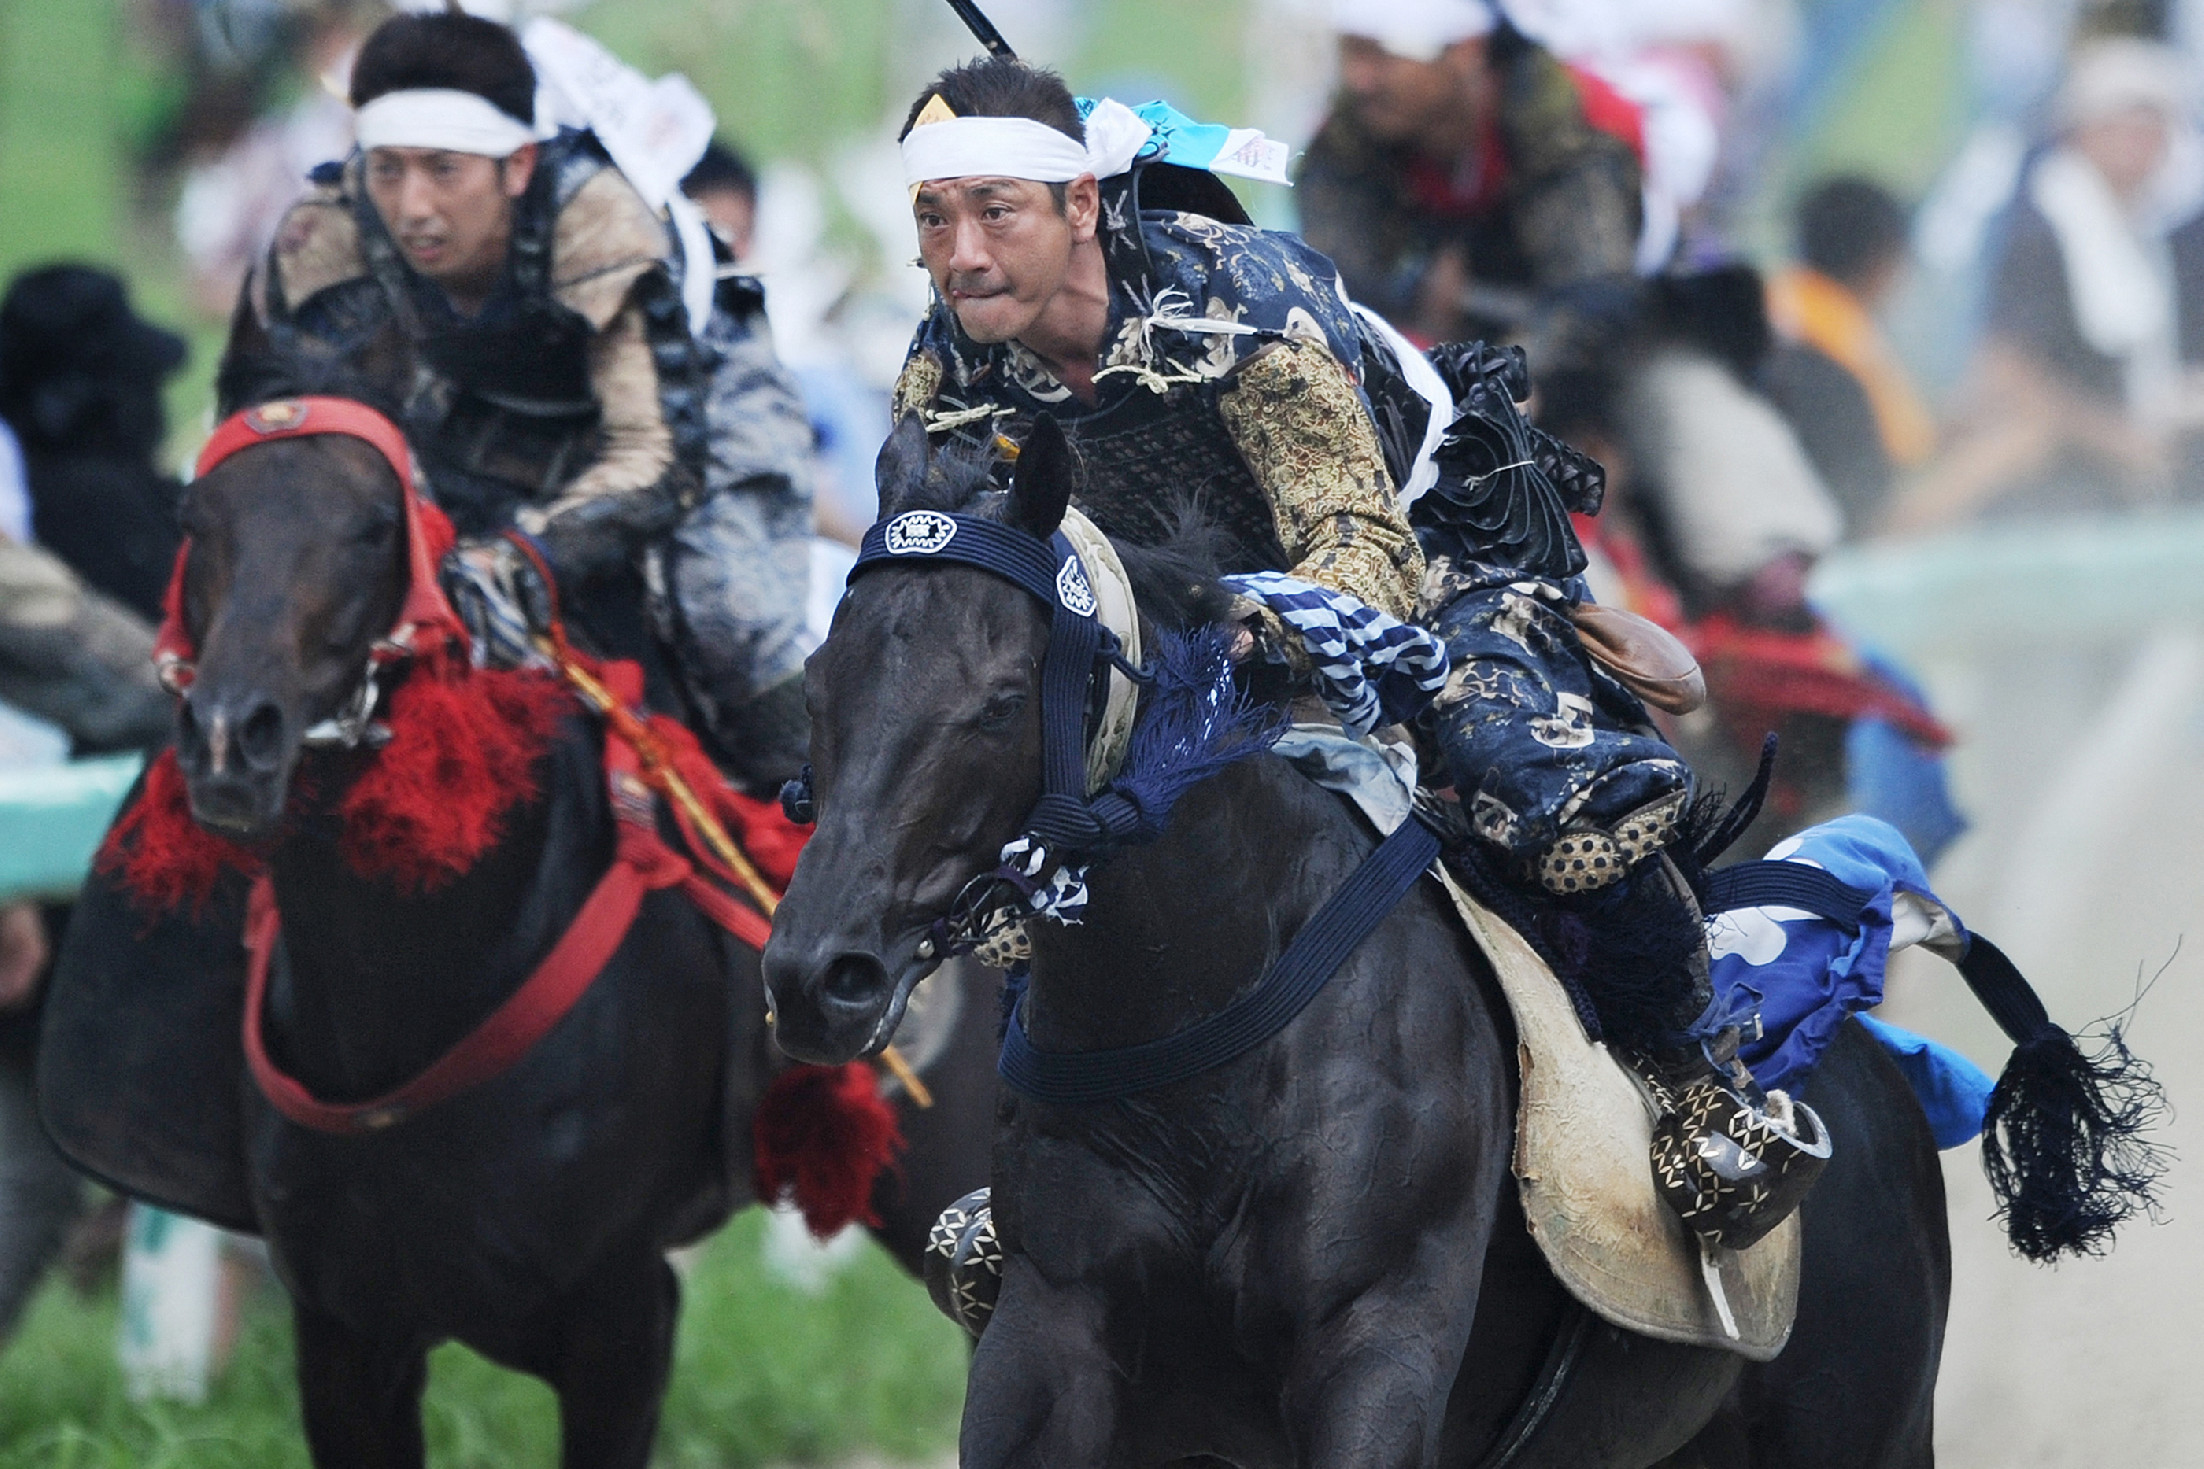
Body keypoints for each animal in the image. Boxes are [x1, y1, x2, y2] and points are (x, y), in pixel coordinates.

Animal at [49, 398, 1000, 1469]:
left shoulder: (623, 1319)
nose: (228, 738)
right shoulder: (344, 1332)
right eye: (195, 519)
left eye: (373, 529)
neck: (413, 998)